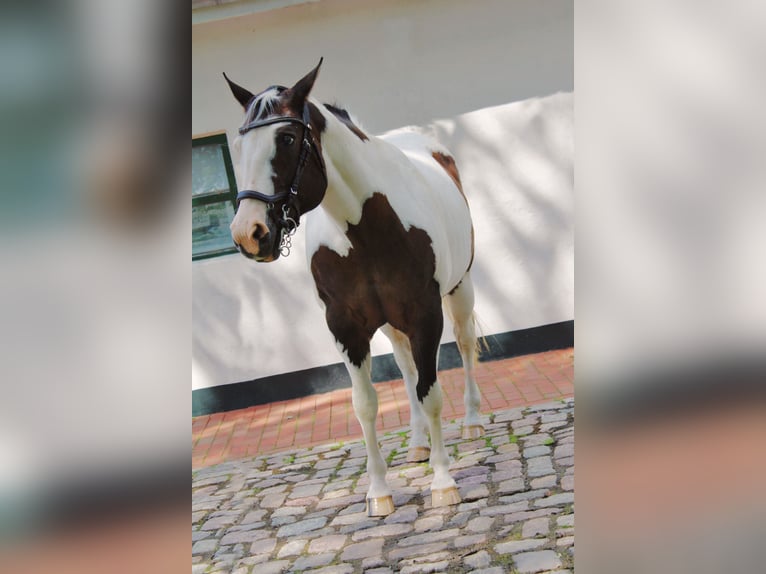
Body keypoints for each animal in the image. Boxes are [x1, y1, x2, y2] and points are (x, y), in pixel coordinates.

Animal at [225, 59, 486, 516]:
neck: (367, 229)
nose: (249, 234)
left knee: (465, 344)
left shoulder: (425, 315)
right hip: (392, 325)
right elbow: (366, 405)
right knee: (405, 368)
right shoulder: (345, 328)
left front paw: (443, 481)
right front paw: (378, 492)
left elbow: (432, 392)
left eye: (287, 138)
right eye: (239, 147)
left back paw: (471, 422)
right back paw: (417, 444)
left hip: (459, 290)